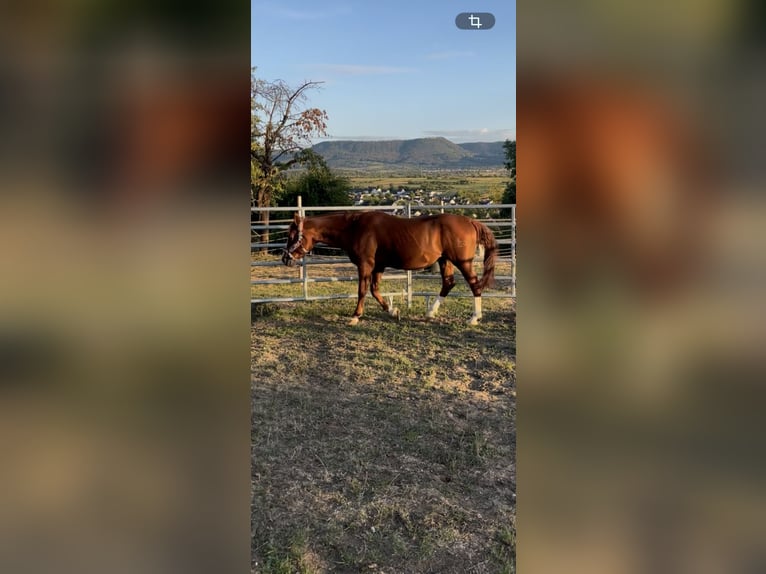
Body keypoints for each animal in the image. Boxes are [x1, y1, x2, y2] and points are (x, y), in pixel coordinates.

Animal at [282, 211, 498, 325]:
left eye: (292, 236)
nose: (285, 258)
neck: (355, 228)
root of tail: (470, 221)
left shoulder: (366, 265)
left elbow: (362, 290)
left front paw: (355, 317)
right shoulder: (378, 266)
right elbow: (375, 290)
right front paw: (393, 311)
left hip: (463, 261)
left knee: (474, 284)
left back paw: (474, 318)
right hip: (445, 260)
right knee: (448, 283)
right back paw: (430, 313)